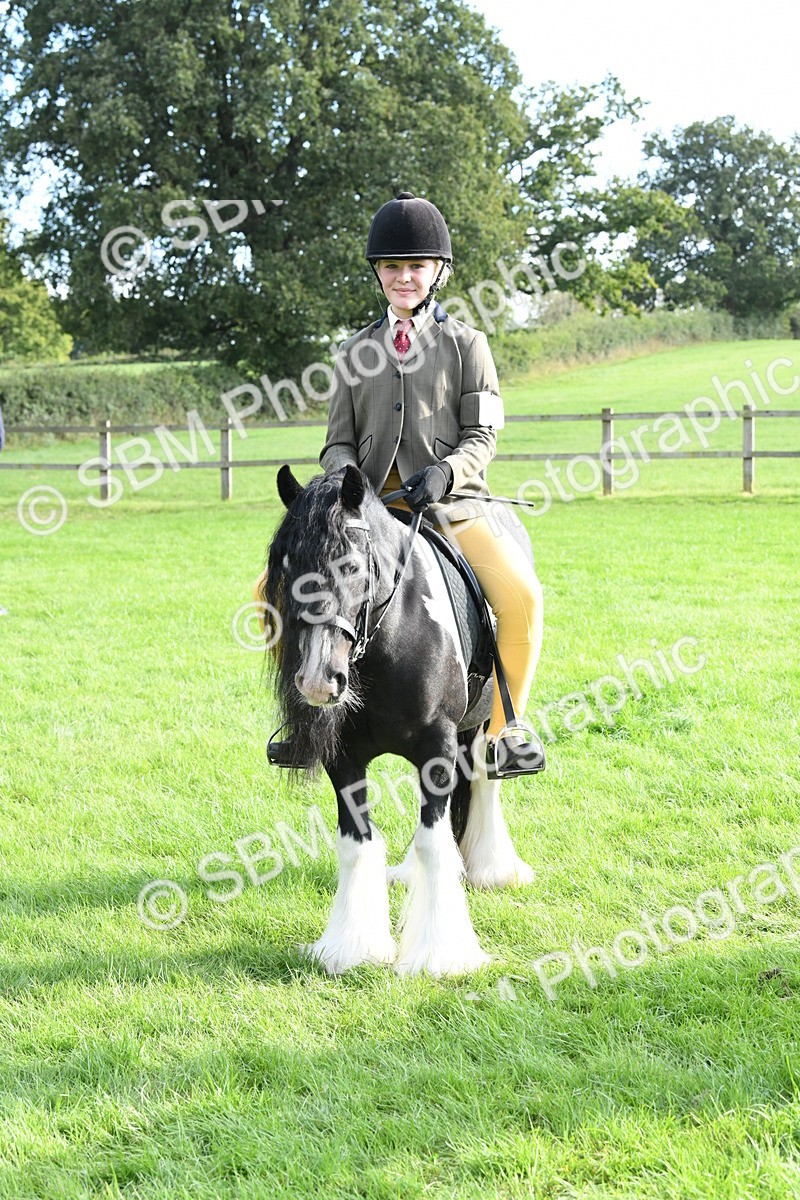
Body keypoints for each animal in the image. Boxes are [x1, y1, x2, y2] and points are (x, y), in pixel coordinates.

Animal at [259, 463, 534, 976]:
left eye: (350, 566)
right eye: (285, 567)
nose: (318, 679)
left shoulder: (437, 748)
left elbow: (433, 842)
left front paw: (441, 955)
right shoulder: (345, 759)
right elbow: (356, 842)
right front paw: (353, 947)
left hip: (481, 726)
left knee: (484, 779)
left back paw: (493, 869)